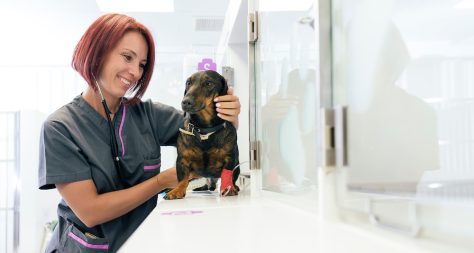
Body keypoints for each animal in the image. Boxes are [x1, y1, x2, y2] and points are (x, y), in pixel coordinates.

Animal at [165, 69, 241, 200]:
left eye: (209, 83)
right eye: (188, 83)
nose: (185, 102)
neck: (205, 130)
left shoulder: (230, 158)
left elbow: (227, 174)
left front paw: (228, 188)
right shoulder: (182, 160)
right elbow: (182, 179)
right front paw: (177, 190)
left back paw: (234, 187)